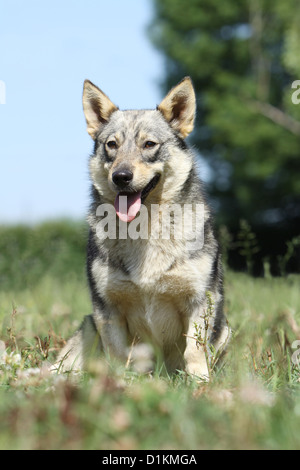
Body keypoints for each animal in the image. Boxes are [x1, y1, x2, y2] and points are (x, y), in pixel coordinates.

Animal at [52, 77, 230, 378]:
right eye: (111, 145)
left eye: (149, 144)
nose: (121, 176)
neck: (144, 230)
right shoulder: (107, 309)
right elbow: (117, 354)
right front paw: (119, 383)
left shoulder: (199, 302)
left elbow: (194, 353)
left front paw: (200, 386)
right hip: (87, 327)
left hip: (225, 329)